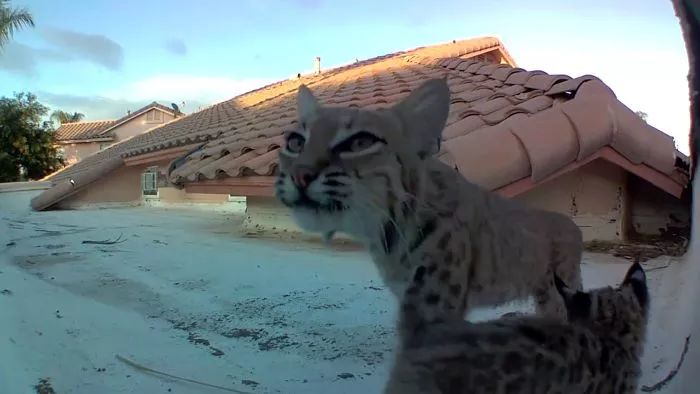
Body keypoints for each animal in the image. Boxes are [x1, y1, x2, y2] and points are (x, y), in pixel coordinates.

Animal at [276, 78, 584, 338]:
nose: (299, 175)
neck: (387, 231)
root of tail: (574, 224)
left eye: (360, 142)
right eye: (295, 142)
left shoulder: (434, 305)